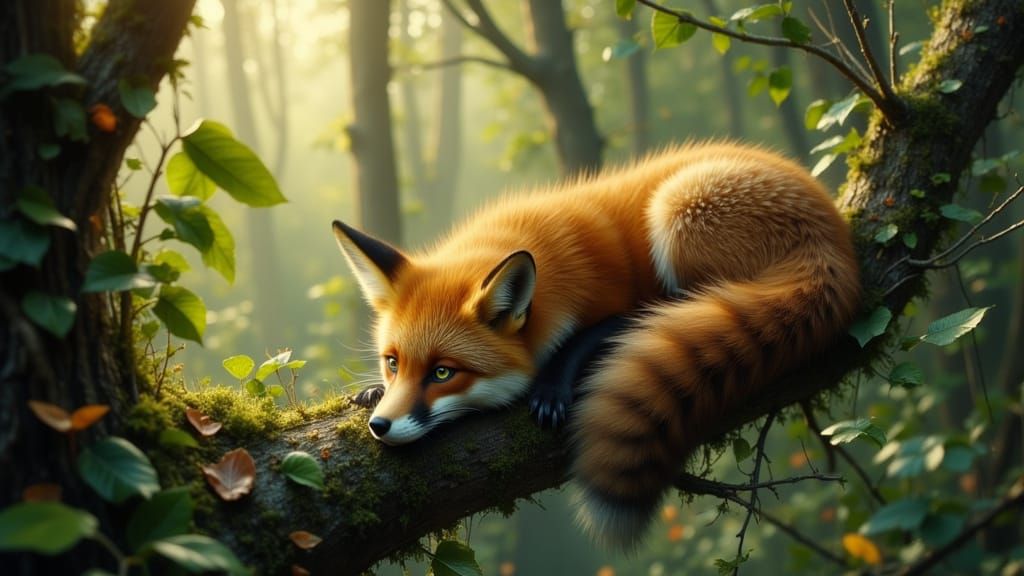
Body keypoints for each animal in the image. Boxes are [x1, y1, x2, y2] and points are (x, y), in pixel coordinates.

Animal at [331, 142, 861, 548]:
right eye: (393, 362)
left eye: (443, 372)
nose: (380, 427)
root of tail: (833, 238)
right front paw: (370, 393)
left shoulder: (613, 301)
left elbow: (599, 331)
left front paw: (551, 385)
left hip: (677, 212)